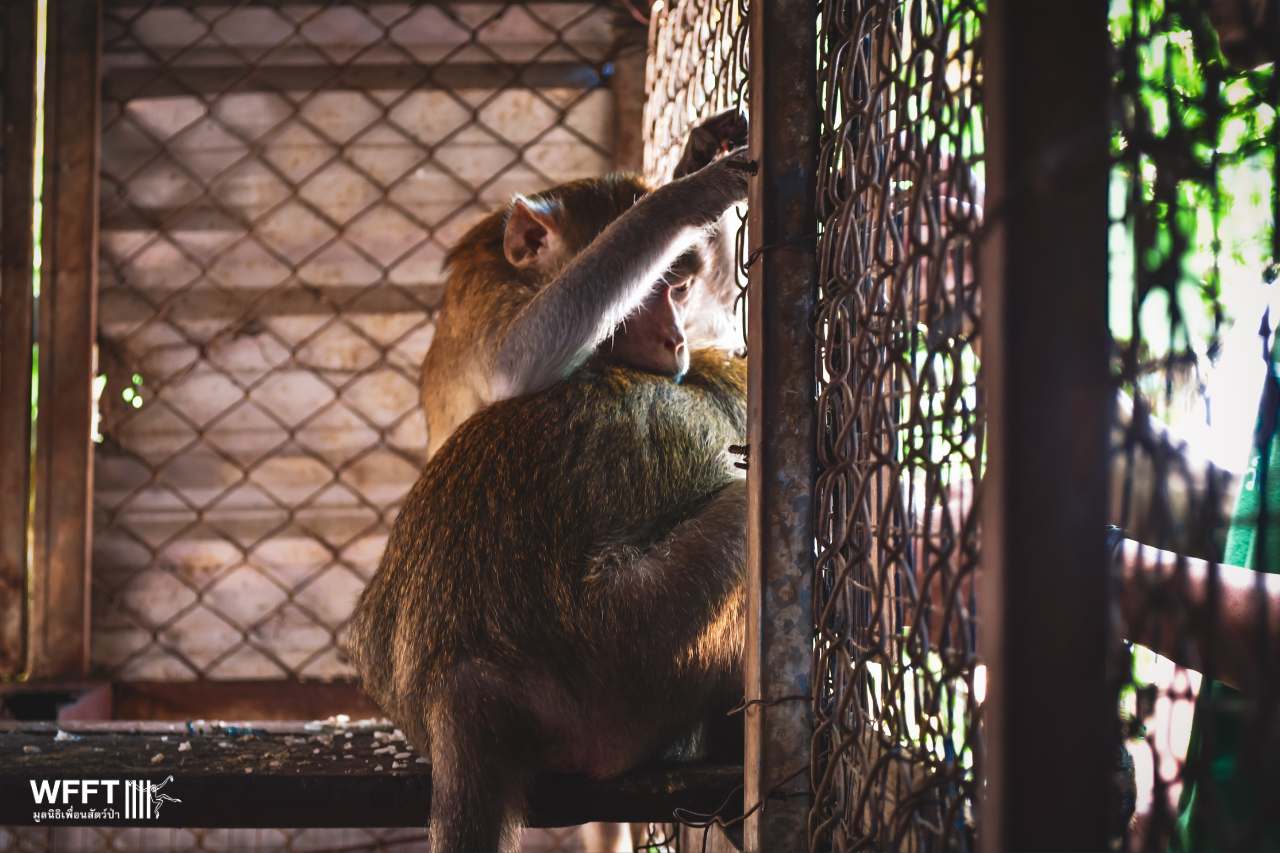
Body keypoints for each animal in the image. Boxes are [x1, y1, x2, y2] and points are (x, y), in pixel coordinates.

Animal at [417, 114, 747, 458]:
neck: (519, 275)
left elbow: (721, 318)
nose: (676, 340)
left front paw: (700, 152)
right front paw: (694, 191)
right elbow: (510, 364)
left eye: (680, 290)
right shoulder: (486, 296)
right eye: (645, 294)